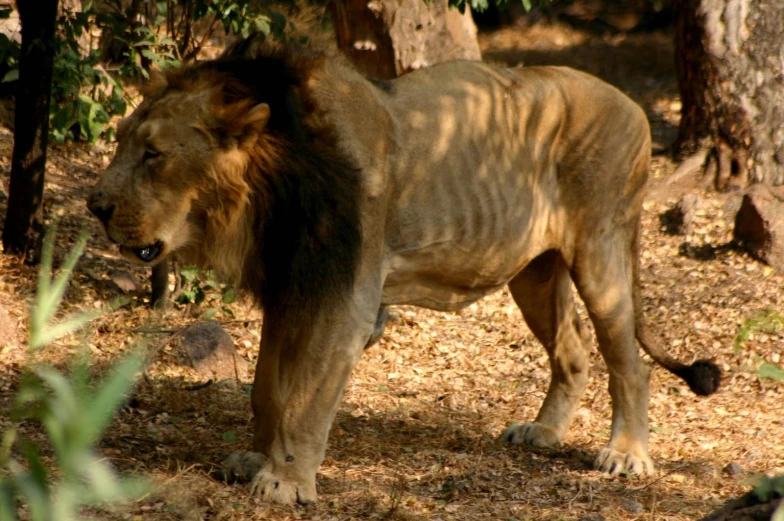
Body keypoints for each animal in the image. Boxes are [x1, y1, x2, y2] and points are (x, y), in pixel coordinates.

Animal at [87, 39, 724, 504]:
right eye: (121, 142)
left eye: (153, 155)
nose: (95, 206)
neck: (267, 191)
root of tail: (634, 107)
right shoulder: (292, 284)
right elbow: (269, 387)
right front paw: (256, 459)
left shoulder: (345, 296)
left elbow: (307, 397)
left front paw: (286, 481)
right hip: (535, 272)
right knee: (572, 350)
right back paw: (543, 432)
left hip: (601, 250)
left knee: (630, 364)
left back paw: (627, 454)